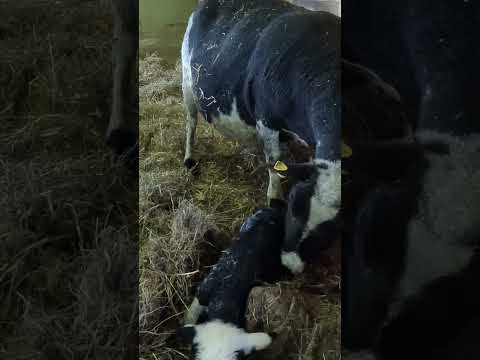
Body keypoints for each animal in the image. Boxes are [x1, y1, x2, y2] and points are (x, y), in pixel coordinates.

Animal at [180, 0, 342, 272]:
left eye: (328, 232)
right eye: (292, 209)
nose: (289, 264)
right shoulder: (267, 119)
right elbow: (275, 164)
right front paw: (273, 199)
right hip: (188, 83)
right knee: (191, 123)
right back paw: (189, 160)